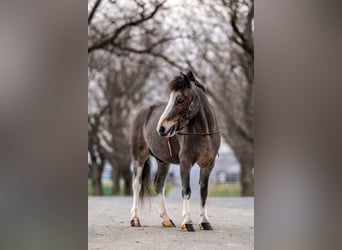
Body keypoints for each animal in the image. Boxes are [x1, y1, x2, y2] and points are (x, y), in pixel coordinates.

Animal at [130, 71, 220, 231]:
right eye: (170, 99)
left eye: (179, 99)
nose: (161, 128)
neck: (205, 133)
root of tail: (142, 111)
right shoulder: (185, 163)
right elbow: (186, 190)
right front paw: (187, 222)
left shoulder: (208, 164)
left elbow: (204, 191)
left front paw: (204, 221)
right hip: (138, 158)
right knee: (137, 184)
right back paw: (134, 219)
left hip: (163, 162)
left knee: (158, 185)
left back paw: (166, 219)